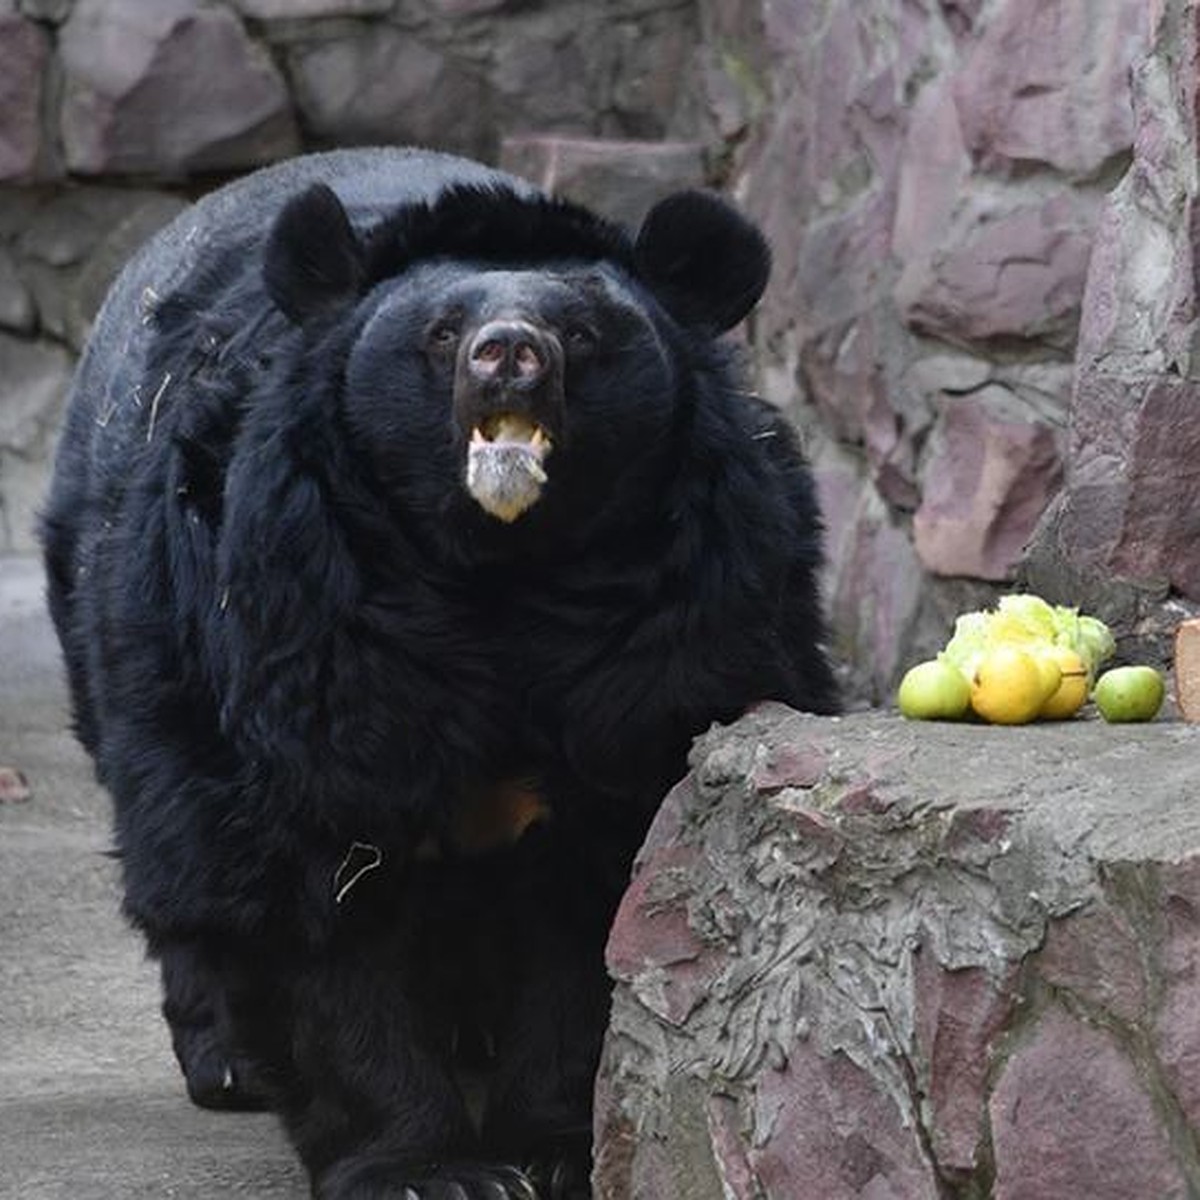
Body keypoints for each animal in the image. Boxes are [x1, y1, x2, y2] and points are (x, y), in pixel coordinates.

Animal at [42, 152, 840, 1200]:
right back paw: (225, 1061)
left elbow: (599, 885)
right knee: (179, 835)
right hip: (135, 627)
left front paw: (551, 1145)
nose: (510, 353)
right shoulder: (297, 609)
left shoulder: (680, 626)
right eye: (444, 332)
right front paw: (426, 1168)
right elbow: (317, 888)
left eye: (580, 332)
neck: (498, 570)